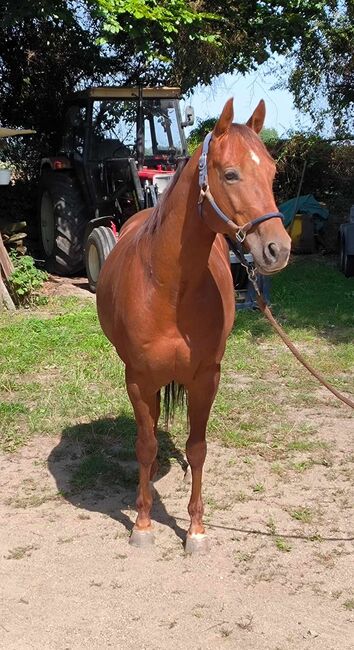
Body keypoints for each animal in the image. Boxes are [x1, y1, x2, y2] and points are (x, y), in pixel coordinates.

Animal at [97, 97, 290, 552]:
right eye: (231, 173)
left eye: (273, 172)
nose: (279, 249)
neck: (168, 288)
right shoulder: (138, 378)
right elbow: (145, 446)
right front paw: (143, 524)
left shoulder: (206, 377)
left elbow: (198, 448)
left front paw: (196, 530)